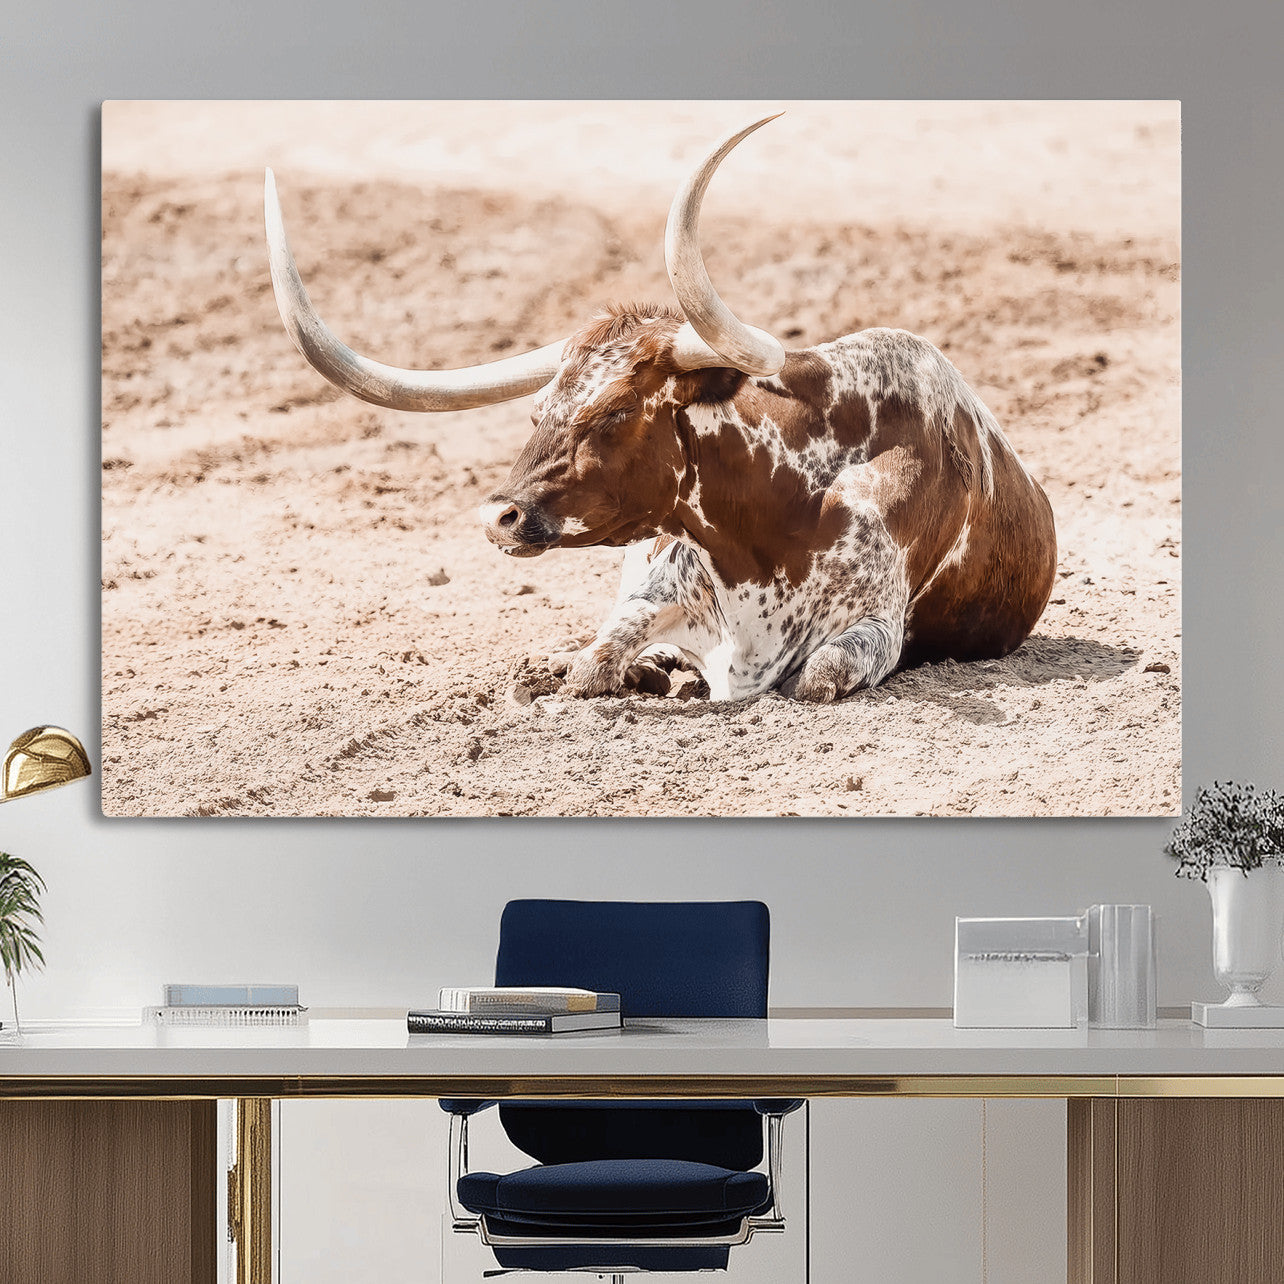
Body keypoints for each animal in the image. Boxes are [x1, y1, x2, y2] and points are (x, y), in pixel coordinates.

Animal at [265, 115, 1056, 703]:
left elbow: (815, 677)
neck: (774, 521)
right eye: (538, 410)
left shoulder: (873, 630)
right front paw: (614, 670)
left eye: (615, 412)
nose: (499, 517)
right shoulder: (652, 588)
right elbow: (593, 662)